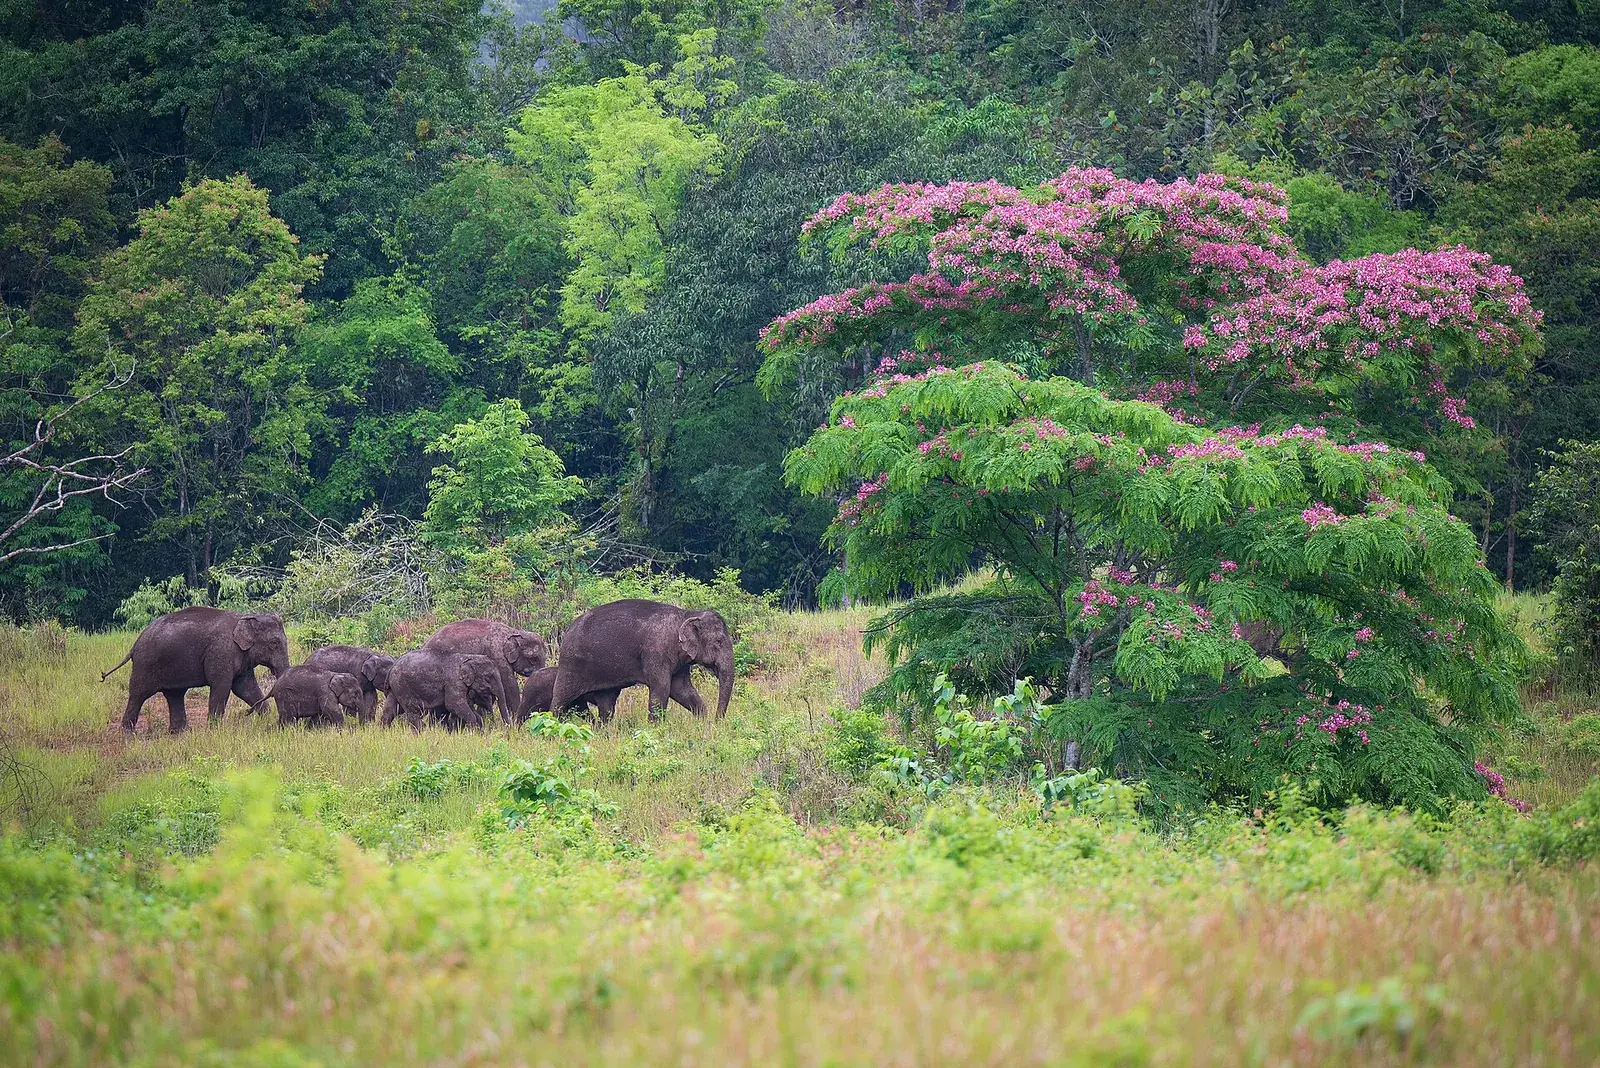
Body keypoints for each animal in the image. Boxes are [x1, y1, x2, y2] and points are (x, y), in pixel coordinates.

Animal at [102, 606, 291, 733]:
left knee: (175, 694)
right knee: (139, 694)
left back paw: (180, 732)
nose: (246, 714)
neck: (244, 617)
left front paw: (266, 717)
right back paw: (128, 734)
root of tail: (135, 644)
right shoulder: (220, 651)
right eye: (274, 643)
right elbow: (222, 687)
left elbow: (245, 688)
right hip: (145, 664)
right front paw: (215, 730)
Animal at [551, 599, 735, 723]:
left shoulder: (679, 661)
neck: (686, 614)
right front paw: (656, 729)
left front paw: (702, 719)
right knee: (560, 698)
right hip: (571, 663)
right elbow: (662, 689)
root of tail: (567, 630)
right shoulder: (655, 654)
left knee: (607, 703)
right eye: (719, 641)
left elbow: (682, 690)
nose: (716, 721)